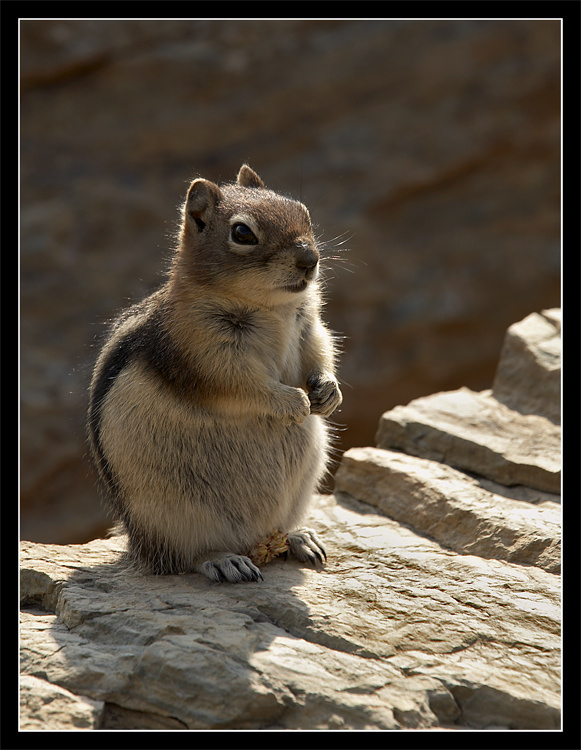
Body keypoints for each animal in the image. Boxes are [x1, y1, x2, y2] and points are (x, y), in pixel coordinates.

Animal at [87, 165, 342, 583]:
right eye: (242, 233)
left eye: (302, 210)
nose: (310, 259)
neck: (273, 307)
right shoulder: (202, 351)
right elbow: (242, 385)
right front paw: (292, 402)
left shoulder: (309, 324)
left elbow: (320, 349)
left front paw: (328, 392)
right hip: (174, 518)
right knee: (183, 558)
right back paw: (225, 561)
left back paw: (299, 539)